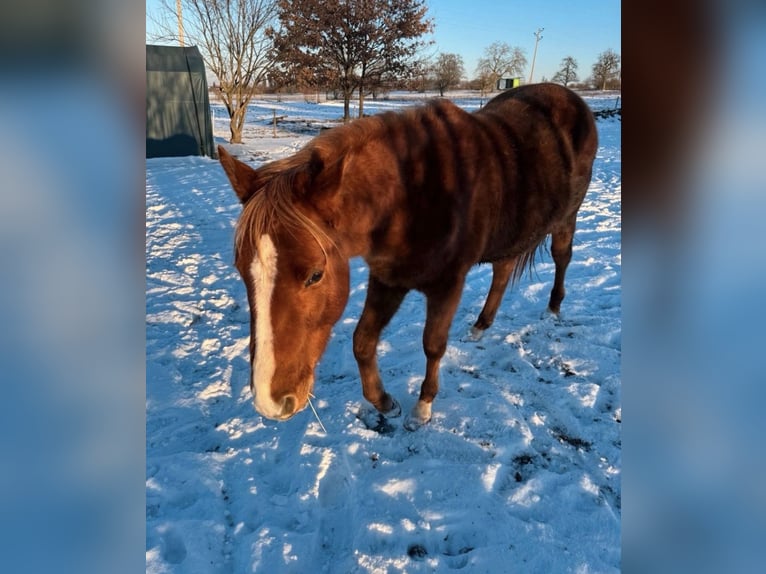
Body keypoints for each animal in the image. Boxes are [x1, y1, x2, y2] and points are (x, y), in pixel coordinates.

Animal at [218, 83, 598, 431]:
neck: (414, 195)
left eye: (315, 275)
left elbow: (433, 345)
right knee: (502, 271)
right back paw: (480, 327)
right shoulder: (388, 278)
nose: (269, 402)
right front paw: (385, 403)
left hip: (567, 217)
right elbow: (362, 341)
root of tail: (571, 98)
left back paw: (553, 309)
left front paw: (422, 408)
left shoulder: (447, 285)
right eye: (241, 271)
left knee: (561, 258)